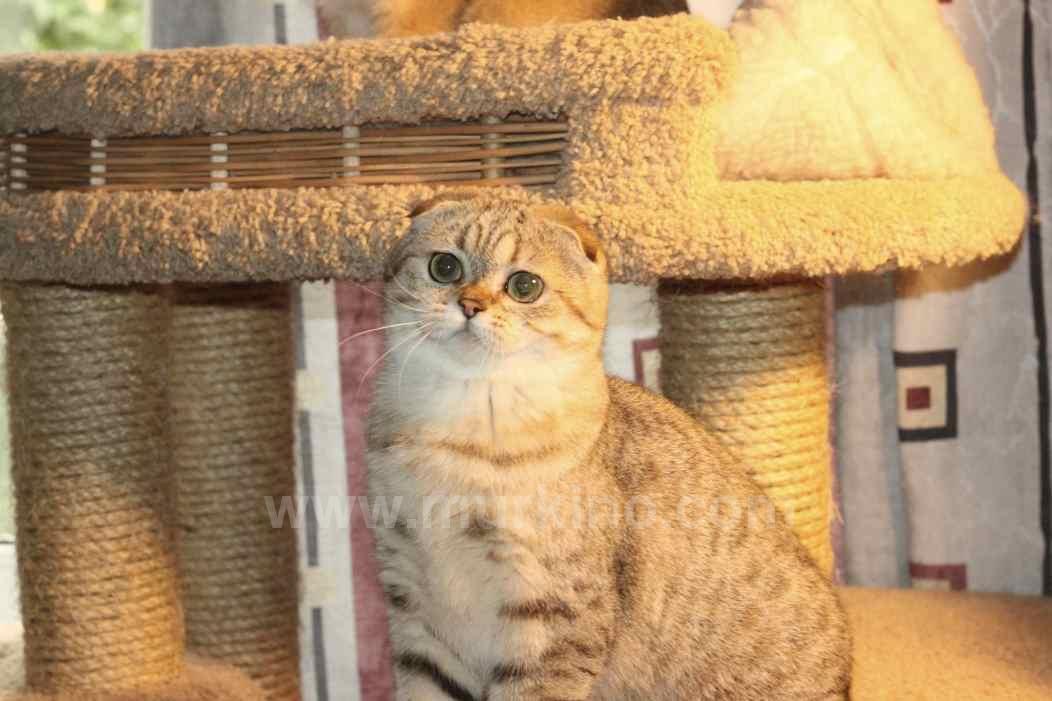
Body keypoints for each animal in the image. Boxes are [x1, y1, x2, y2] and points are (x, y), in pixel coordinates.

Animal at [365, 193, 852, 700]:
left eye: (524, 285)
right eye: (444, 267)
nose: (469, 304)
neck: (463, 426)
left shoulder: (555, 618)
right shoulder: (416, 609)